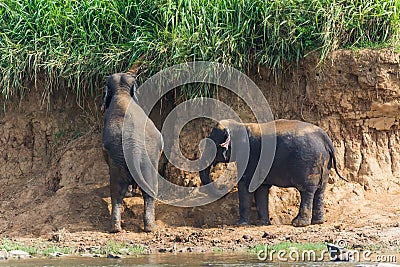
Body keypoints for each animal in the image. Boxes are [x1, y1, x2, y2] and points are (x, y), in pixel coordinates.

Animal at [101, 72, 162, 233]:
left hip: (124, 160)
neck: (122, 92)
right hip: (142, 161)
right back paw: (149, 228)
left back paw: (118, 228)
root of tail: (133, 147)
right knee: (145, 189)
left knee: (117, 191)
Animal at [200, 120, 346, 228]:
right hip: (324, 163)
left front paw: (241, 224)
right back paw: (317, 222)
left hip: (308, 162)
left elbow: (246, 185)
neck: (240, 125)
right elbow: (261, 189)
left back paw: (299, 223)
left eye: (213, 145)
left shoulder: (250, 157)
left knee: (307, 191)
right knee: (320, 190)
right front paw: (262, 224)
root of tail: (326, 139)